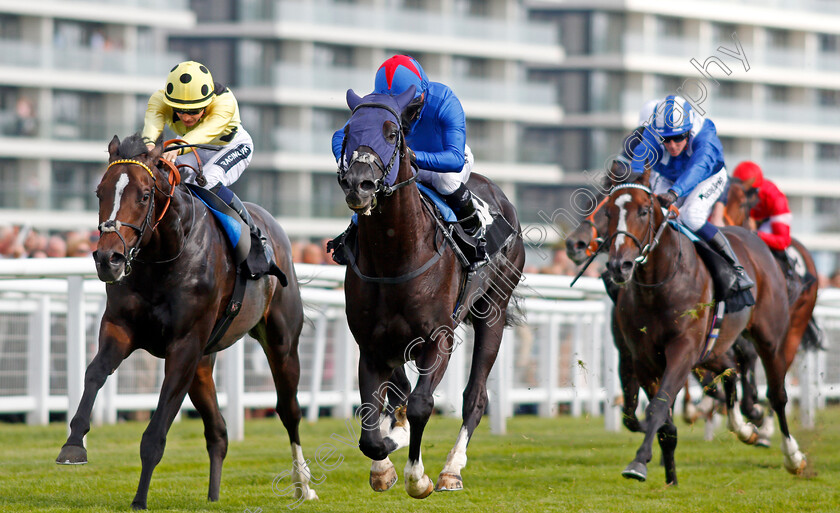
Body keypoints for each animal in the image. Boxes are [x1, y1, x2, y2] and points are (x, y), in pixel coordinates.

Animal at [55, 135, 318, 508]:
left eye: (144, 195)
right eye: (99, 192)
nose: (109, 259)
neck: (165, 256)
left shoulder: (184, 346)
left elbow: (157, 430)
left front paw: (139, 499)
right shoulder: (120, 328)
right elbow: (94, 373)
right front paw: (73, 444)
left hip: (281, 343)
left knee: (289, 410)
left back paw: (302, 484)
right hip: (204, 364)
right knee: (218, 430)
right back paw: (213, 495)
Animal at [334, 87, 524, 496]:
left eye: (392, 133)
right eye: (348, 132)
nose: (359, 184)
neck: (394, 257)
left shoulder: (439, 338)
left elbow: (421, 403)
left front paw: (416, 476)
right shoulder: (371, 344)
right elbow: (374, 424)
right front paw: (385, 461)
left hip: (494, 311)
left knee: (475, 396)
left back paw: (452, 469)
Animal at [600, 165, 804, 484]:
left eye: (644, 211)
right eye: (608, 212)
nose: (619, 266)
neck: (659, 284)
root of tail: (753, 238)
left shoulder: (683, 349)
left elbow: (659, 406)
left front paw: (638, 462)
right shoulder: (642, 358)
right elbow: (662, 417)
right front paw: (669, 475)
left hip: (770, 338)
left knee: (777, 395)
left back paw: (792, 455)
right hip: (714, 346)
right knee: (731, 369)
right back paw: (744, 428)